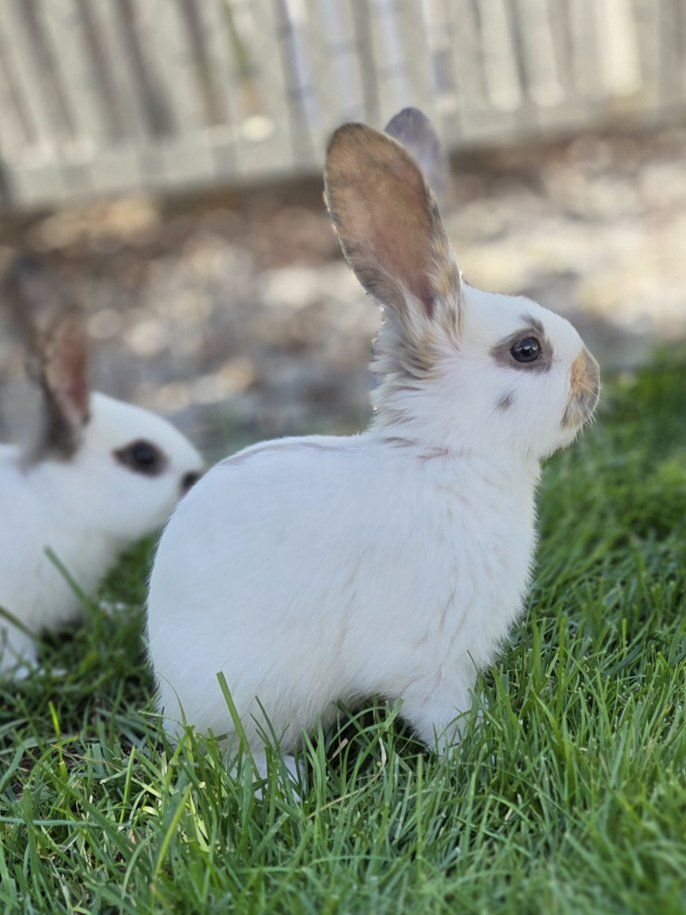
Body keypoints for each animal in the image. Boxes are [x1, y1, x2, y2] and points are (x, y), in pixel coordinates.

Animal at [0, 257, 203, 676]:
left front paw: (122, 612)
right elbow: (15, 661)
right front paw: (49, 674)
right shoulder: (10, 620)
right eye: (143, 456)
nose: (197, 476)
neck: (56, 504)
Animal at [147, 108, 600, 780]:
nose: (594, 379)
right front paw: (485, 752)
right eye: (526, 350)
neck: (446, 457)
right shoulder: (430, 662)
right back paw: (283, 780)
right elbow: (444, 718)